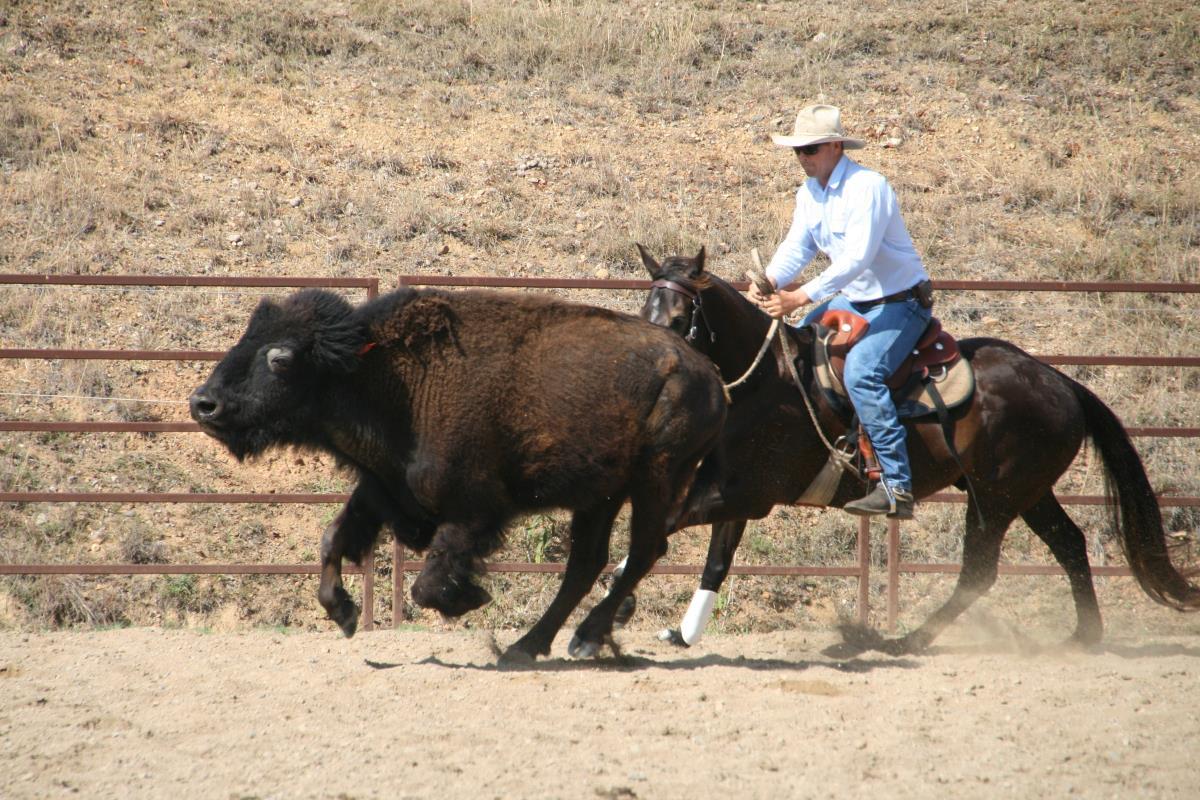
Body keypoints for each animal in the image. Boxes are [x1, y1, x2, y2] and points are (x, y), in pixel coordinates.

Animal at [189, 287, 726, 661]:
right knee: (587, 562)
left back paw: (584, 640)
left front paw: (469, 598)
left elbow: (426, 582)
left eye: (280, 358)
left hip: (655, 479)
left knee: (643, 551)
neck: (391, 379)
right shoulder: (383, 489)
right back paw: (527, 647)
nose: (203, 403)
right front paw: (343, 613)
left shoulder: (474, 512)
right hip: (601, 496)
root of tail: (711, 377)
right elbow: (332, 538)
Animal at [636, 245, 1200, 654]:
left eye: (681, 315)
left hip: (995, 499)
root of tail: (1061, 382)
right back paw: (1084, 636)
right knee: (1070, 544)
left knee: (980, 570)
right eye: (645, 309)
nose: (655, 362)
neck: (772, 382)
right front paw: (681, 632)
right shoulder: (733, 490)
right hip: (1028, 492)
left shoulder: (747, 494)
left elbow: (667, 527)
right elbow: (715, 560)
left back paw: (908, 640)